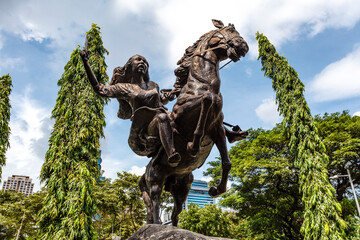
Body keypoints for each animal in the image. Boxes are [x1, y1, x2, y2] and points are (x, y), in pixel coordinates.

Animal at [140, 19, 248, 227]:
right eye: (231, 30)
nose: (244, 47)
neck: (202, 84)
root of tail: (145, 172)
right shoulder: (183, 113)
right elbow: (206, 99)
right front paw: (193, 146)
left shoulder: (217, 128)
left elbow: (227, 162)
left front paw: (217, 189)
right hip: (155, 179)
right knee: (155, 200)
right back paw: (156, 223)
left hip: (182, 187)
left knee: (175, 213)